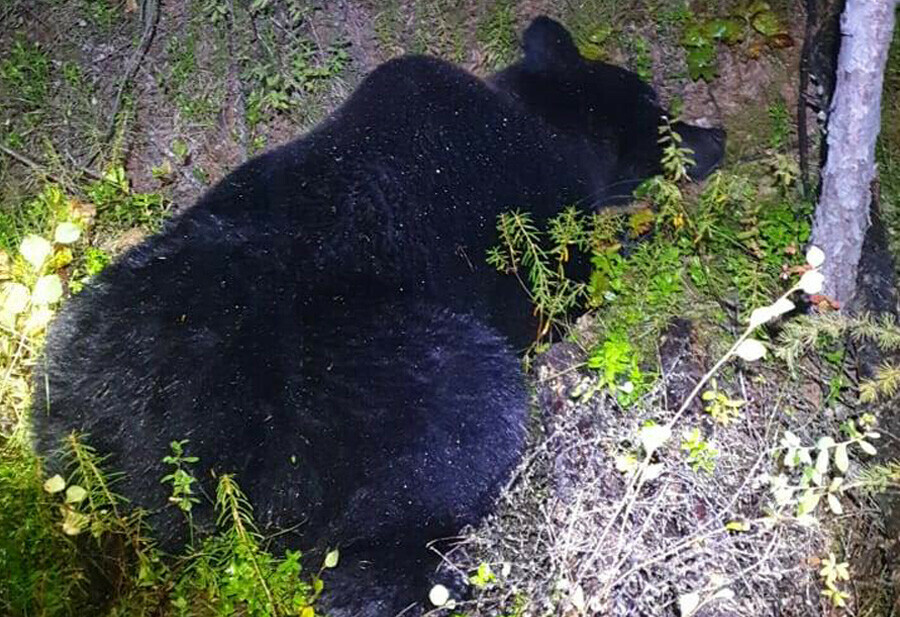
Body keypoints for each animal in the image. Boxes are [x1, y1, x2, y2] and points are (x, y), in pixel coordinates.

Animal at [33, 14, 724, 616]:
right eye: (657, 108)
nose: (716, 135)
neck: (540, 122)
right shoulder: (534, 236)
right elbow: (573, 282)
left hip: (70, 373)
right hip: (372, 386)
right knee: (463, 424)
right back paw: (439, 583)